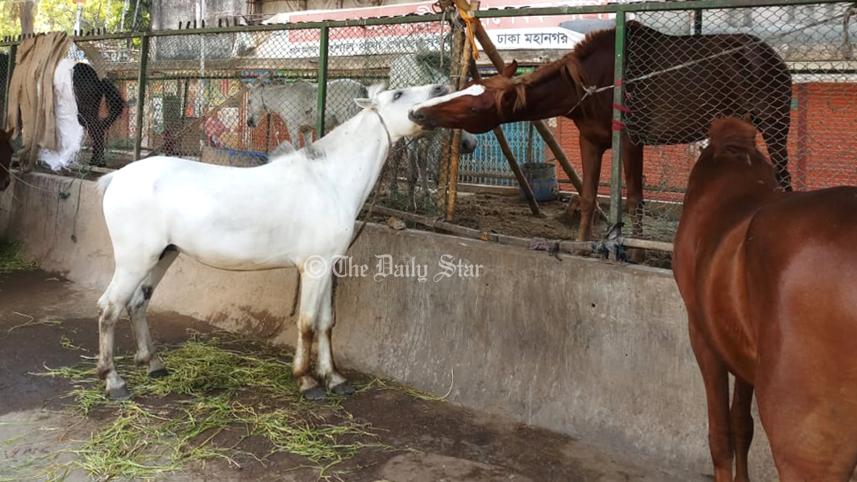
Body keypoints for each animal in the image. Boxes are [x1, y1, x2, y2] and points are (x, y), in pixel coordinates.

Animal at [94, 83, 450, 401]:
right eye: (398, 94)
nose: (440, 88)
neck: (329, 181)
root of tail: (116, 177)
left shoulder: (328, 267)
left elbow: (326, 323)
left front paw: (335, 379)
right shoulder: (314, 268)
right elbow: (307, 324)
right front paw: (307, 382)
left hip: (163, 256)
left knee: (137, 303)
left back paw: (154, 364)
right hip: (135, 261)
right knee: (109, 309)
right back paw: (114, 382)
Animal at [409, 21, 792, 241]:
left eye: (477, 107)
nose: (419, 112)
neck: (587, 88)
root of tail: (775, 58)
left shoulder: (632, 139)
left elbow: (634, 199)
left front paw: (634, 251)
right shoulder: (590, 140)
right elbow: (590, 196)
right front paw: (582, 246)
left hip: (775, 123)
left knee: (785, 180)